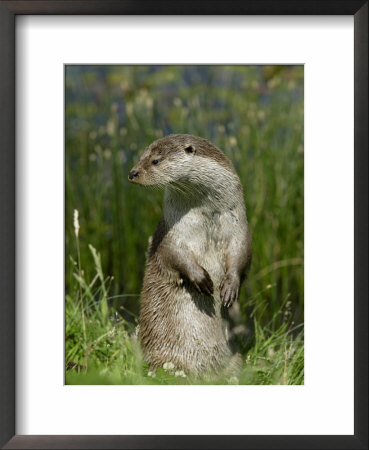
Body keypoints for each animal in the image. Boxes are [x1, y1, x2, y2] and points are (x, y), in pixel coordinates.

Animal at [128, 134, 252, 380]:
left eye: (155, 160)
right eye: (141, 156)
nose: (132, 173)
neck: (208, 217)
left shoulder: (240, 229)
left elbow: (241, 255)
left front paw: (230, 287)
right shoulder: (173, 234)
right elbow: (175, 254)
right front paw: (201, 279)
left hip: (235, 357)